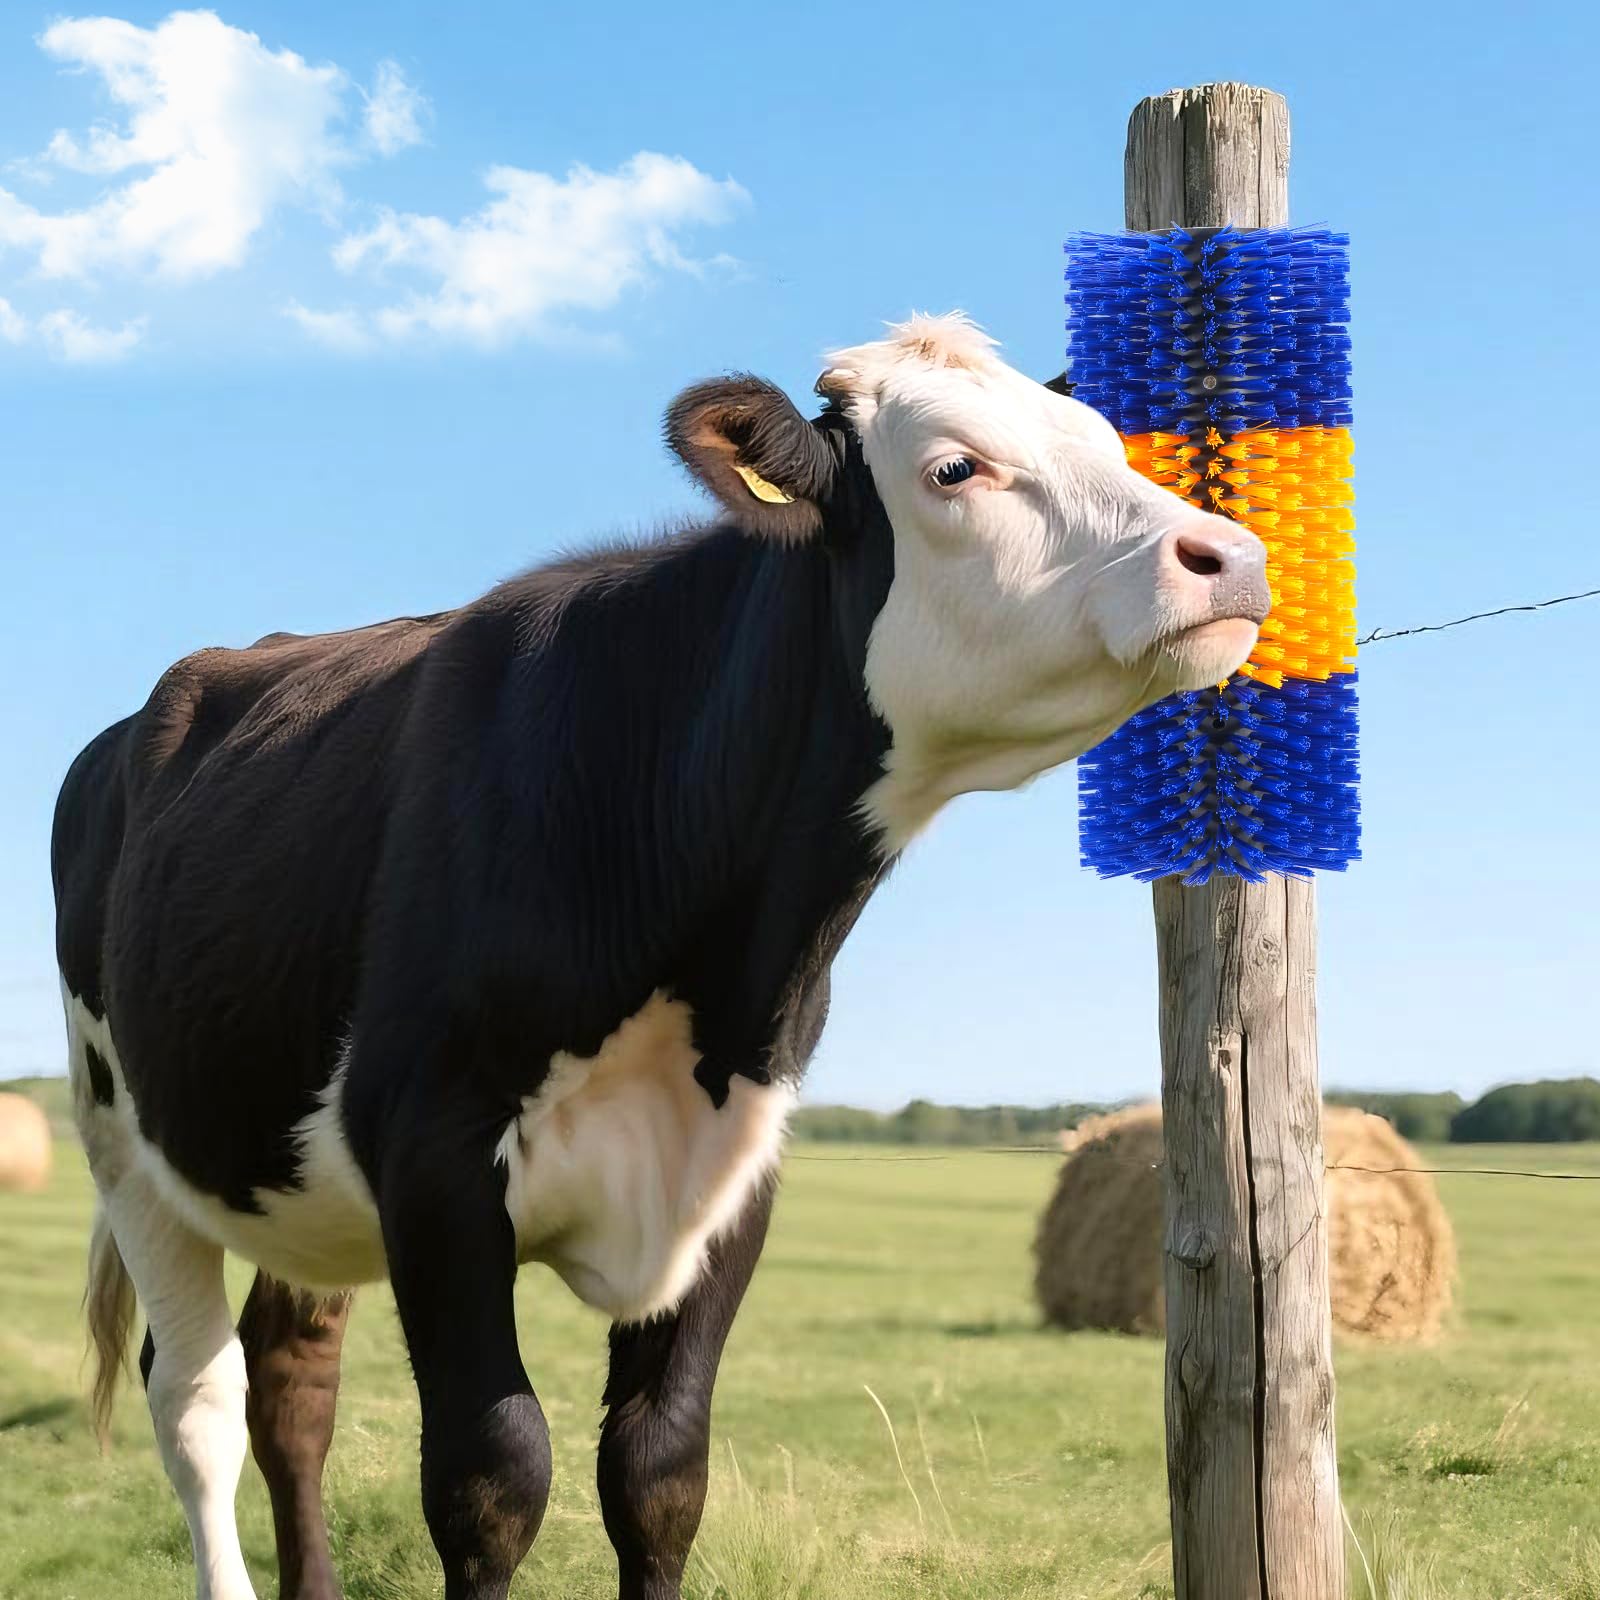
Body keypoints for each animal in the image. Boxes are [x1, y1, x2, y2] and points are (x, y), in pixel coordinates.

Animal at [52, 314, 1268, 1600]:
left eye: (1107, 441)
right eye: (953, 467)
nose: (1230, 555)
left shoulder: (731, 1161)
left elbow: (658, 1472)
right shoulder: (431, 1153)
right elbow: (490, 1474)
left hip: (293, 1170)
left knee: (293, 1383)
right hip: (121, 1136)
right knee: (196, 1398)